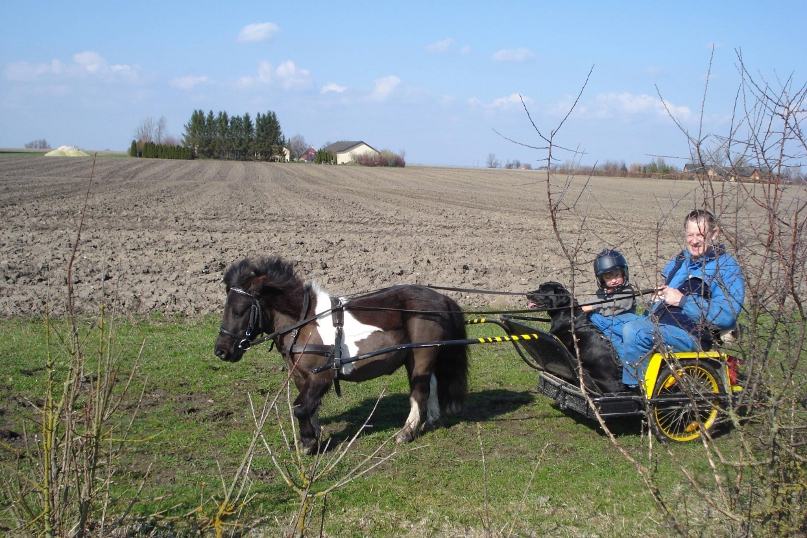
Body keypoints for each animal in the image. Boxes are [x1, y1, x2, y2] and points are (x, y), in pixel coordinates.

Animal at [215, 255, 470, 448]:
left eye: (239, 310)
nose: (221, 350)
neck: (304, 323)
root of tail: (442, 299)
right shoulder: (300, 376)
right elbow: (309, 407)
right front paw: (314, 434)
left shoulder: (322, 375)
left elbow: (301, 408)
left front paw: (308, 442)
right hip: (416, 357)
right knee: (432, 384)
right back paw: (431, 420)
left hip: (421, 355)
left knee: (419, 392)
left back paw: (406, 432)